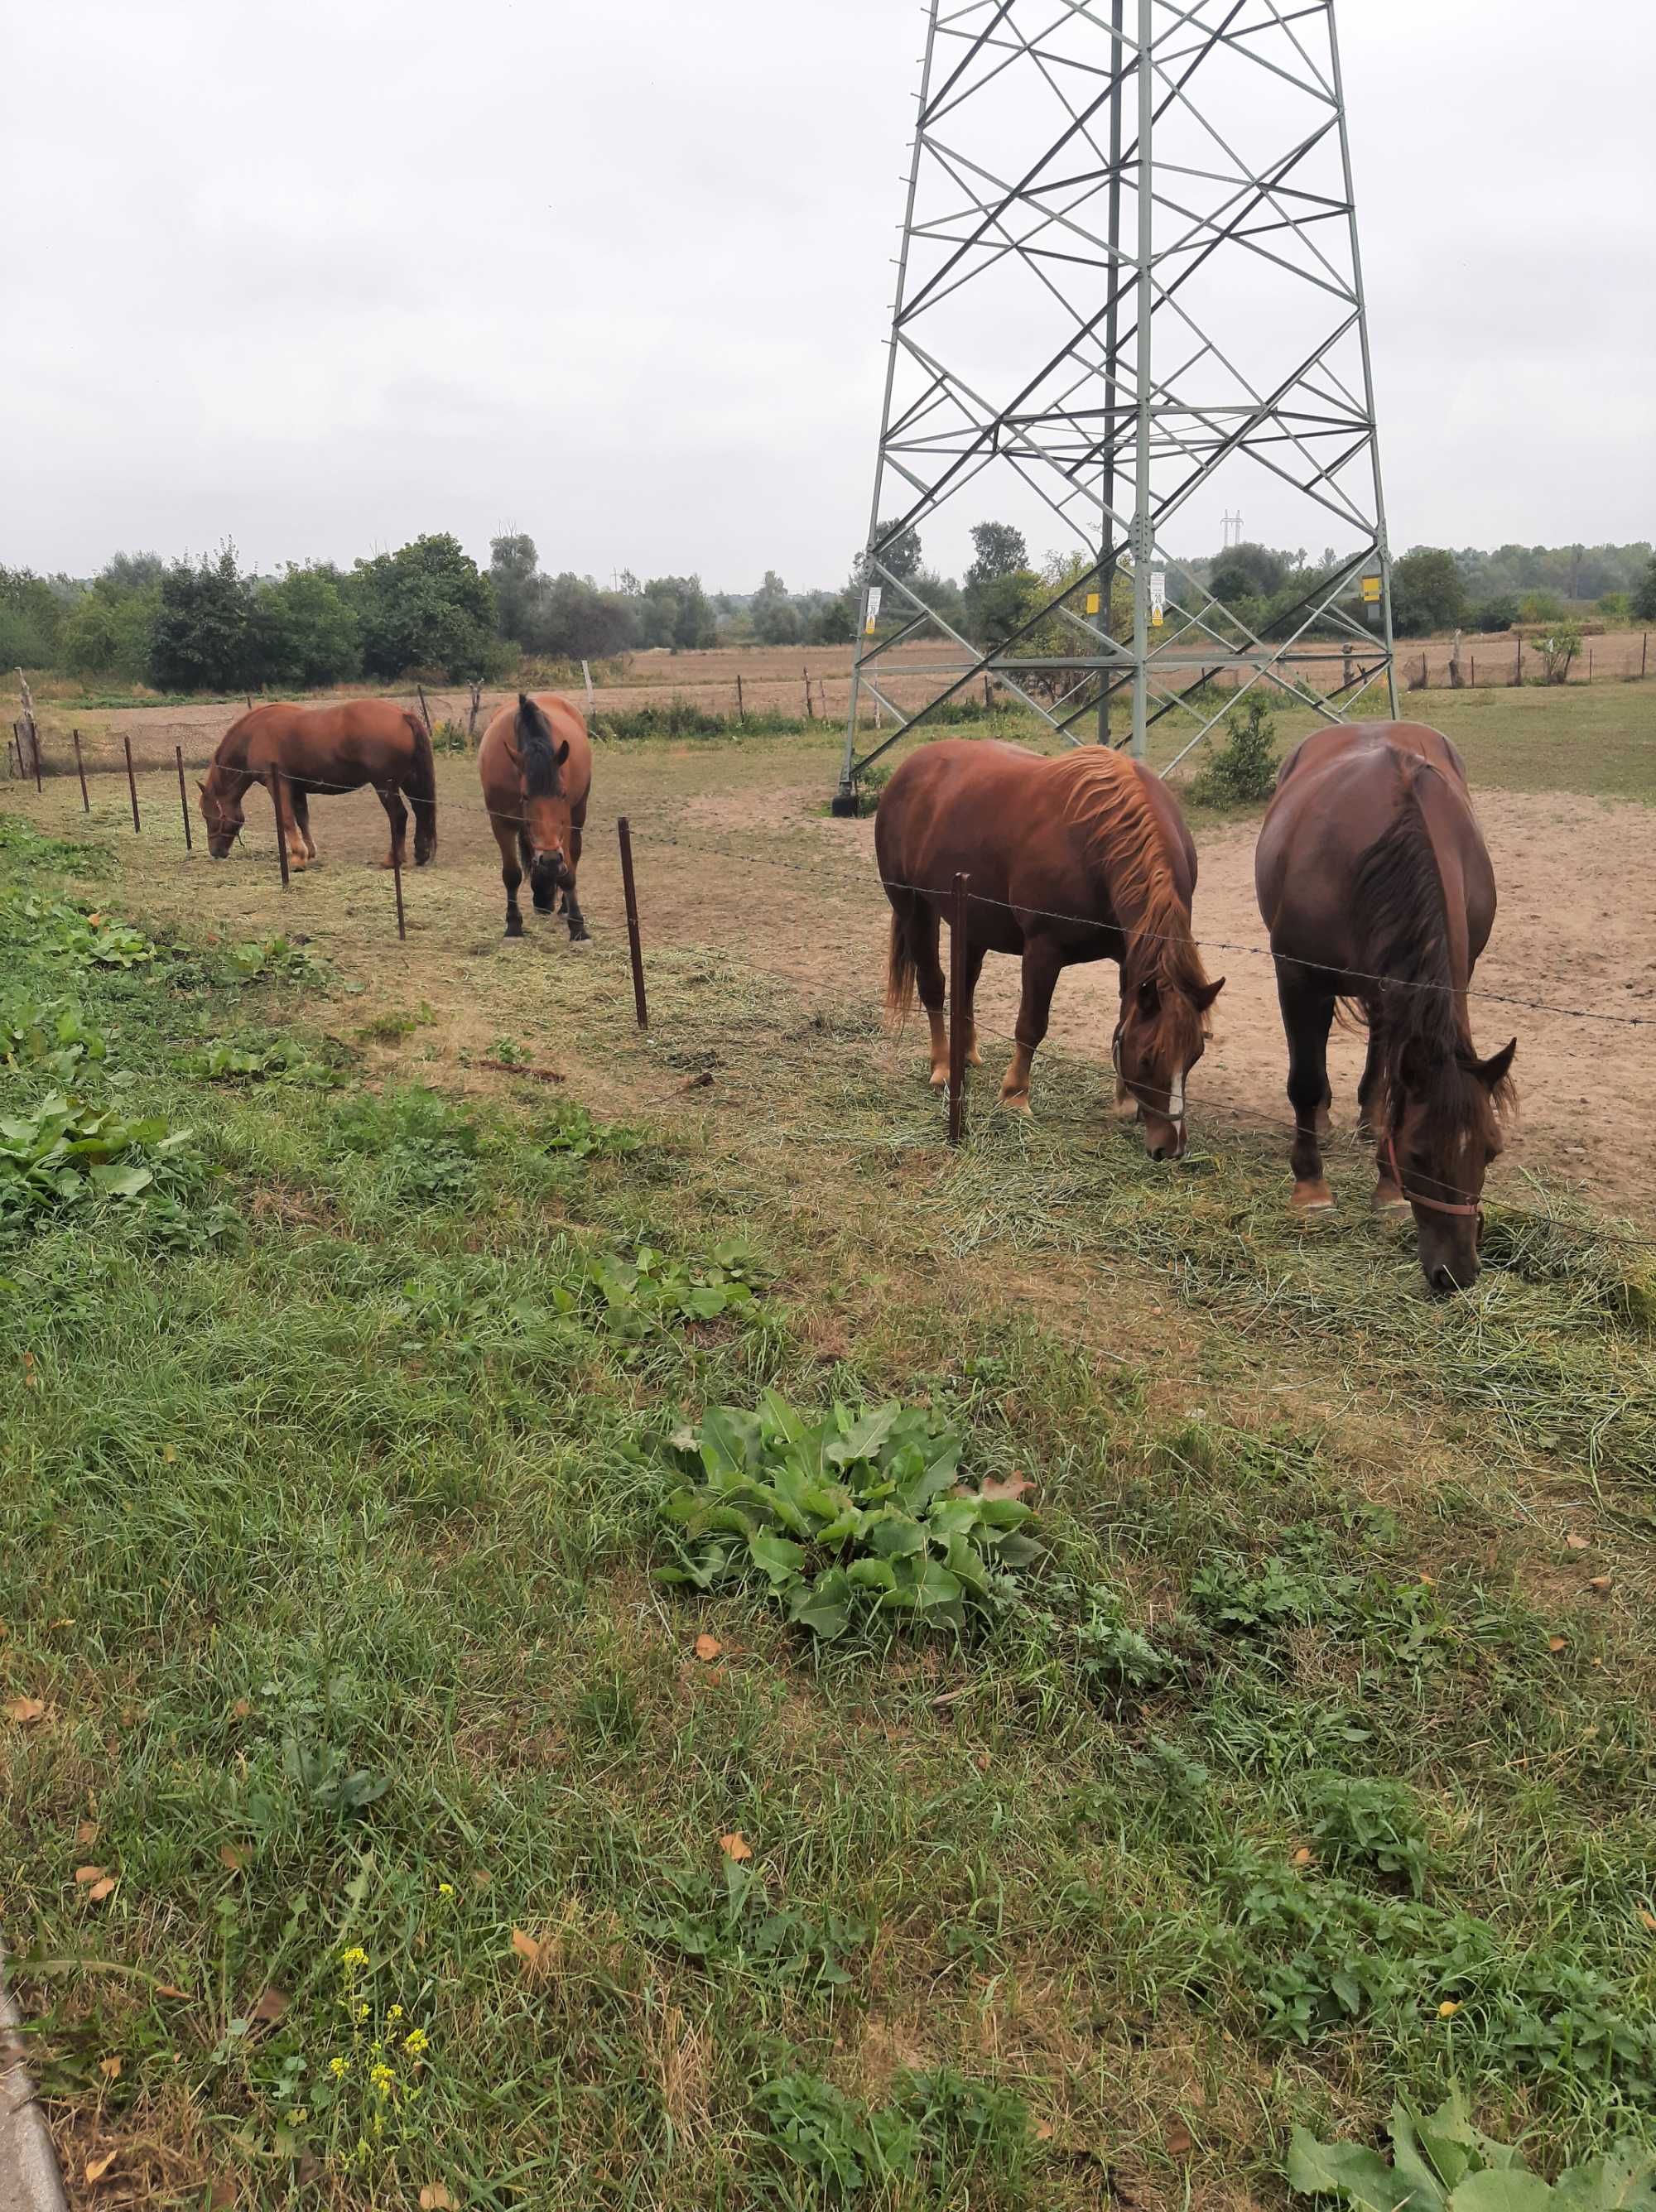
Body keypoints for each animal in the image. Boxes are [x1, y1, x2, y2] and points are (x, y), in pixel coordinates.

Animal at [199, 695, 440, 867]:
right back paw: (421, 853)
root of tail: (402, 714)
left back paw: (393, 859)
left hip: (384, 785)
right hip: (410, 780)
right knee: (421, 811)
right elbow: (302, 818)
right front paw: (309, 852)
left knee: (399, 815)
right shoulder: (297, 787)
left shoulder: (278, 783)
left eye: (208, 815)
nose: (215, 852)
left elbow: (287, 818)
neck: (254, 735)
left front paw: (297, 857)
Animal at [475, 685, 592, 937]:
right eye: (526, 796)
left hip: (579, 812)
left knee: (574, 856)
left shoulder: (565, 823)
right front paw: (513, 926)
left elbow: (568, 874)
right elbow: (511, 874)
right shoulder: (501, 822)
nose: (550, 859)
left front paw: (578, 927)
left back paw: (563, 906)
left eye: (562, 794)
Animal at [871, 738, 1220, 1159]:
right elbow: (1031, 1025)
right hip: (913, 907)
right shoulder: (1043, 952)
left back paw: (966, 1054)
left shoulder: (1129, 958)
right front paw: (1015, 1097)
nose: (1170, 1148)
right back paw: (942, 1066)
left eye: (1195, 1055)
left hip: (971, 919)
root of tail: (910, 768)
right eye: (1149, 1058)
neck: (1097, 844)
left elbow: (1122, 1022)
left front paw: (1124, 1102)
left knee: (965, 986)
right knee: (933, 986)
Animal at [1255, 716, 1512, 1291]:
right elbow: (1304, 1079)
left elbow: (1396, 1080)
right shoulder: (1297, 977)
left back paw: (1369, 1118)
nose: (1456, 1273)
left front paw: (1388, 1189)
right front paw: (1310, 1188)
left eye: (1491, 1150)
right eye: (1418, 1153)